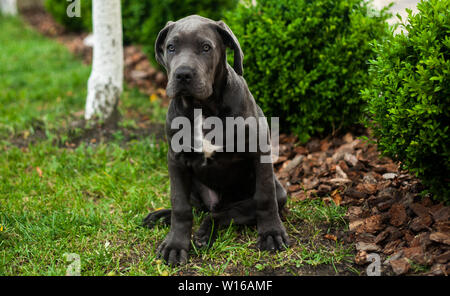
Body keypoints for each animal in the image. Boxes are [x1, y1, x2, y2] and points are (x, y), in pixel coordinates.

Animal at [146, 15, 290, 266]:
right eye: (171, 47)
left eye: (206, 47)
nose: (182, 74)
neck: (202, 108)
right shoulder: (176, 159)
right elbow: (180, 205)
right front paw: (175, 244)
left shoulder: (259, 152)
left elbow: (265, 198)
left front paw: (271, 234)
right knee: (198, 208)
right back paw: (162, 216)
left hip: (274, 193)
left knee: (221, 214)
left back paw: (204, 234)